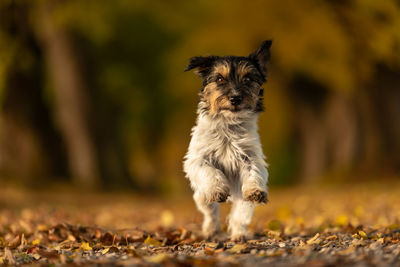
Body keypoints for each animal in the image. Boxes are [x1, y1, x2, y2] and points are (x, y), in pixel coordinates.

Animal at [184, 40, 272, 241]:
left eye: (247, 79)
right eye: (219, 79)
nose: (235, 98)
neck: (228, 125)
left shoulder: (250, 157)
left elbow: (254, 173)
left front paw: (255, 191)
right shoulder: (197, 159)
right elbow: (210, 171)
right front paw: (217, 189)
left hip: (241, 198)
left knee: (239, 214)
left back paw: (239, 234)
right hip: (201, 197)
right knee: (211, 213)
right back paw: (210, 230)